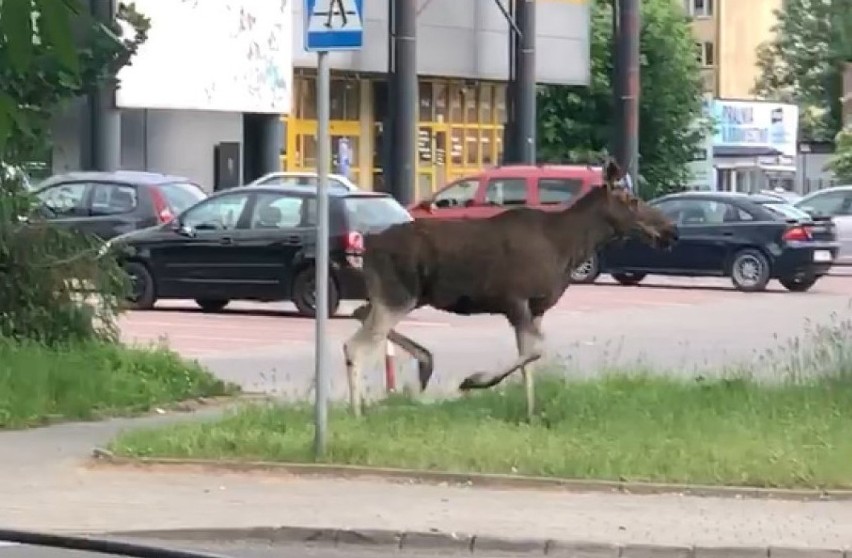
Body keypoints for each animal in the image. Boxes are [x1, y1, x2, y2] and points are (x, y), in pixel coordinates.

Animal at [342, 162, 676, 420]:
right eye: (632, 200)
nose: (670, 230)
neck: (568, 247)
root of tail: (367, 247)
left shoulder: (536, 307)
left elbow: (529, 359)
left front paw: (530, 413)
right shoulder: (515, 299)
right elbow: (534, 351)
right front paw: (473, 381)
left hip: (396, 296)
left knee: (360, 314)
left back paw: (418, 366)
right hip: (398, 294)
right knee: (355, 345)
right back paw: (358, 410)